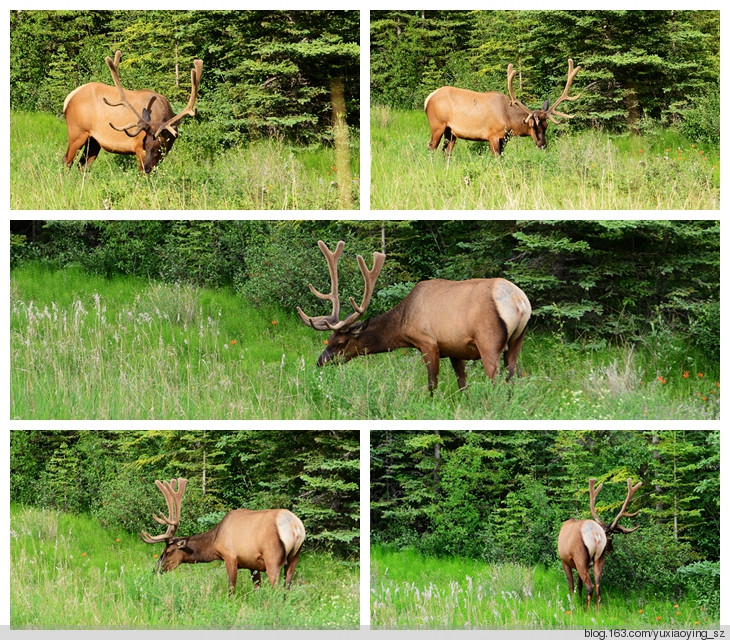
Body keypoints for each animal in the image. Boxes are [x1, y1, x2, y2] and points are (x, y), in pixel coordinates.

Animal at [63, 51, 202, 172]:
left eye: (159, 147)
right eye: (145, 145)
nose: (147, 168)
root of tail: (70, 97)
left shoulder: (165, 152)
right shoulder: (138, 149)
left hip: (93, 140)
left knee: (82, 165)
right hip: (77, 132)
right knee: (67, 161)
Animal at [139, 478, 304, 592]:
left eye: (167, 552)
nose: (156, 570)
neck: (215, 540)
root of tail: (295, 527)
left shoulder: (230, 556)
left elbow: (231, 589)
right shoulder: (253, 564)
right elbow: (257, 589)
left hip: (273, 557)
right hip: (295, 557)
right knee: (287, 589)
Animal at [296, 239, 528, 390]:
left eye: (340, 342)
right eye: (329, 339)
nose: (320, 361)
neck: (404, 322)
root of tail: (519, 301)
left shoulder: (428, 342)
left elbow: (432, 385)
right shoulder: (455, 348)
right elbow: (463, 385)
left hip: (489, 342)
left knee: (497, 383)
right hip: (517, 341)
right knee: (512, 381)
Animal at [424, 58, 576, 156]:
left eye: (546, 126)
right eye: (532, 125)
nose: (542, 145)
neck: (508, 119)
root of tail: (428, 99)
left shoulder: (504, 138)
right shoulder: (493, 135)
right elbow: (497, 158)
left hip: (450, 131)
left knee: (446, 152)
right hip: (437, 125)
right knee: (431, 147)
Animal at [556, 478, 640, 608]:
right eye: (611, 537)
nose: (611, 549)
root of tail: (595, 534)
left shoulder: (565, 560)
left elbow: (571, 584)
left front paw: (574, 602)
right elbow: (579, 585)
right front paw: (578, 600)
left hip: (580, 557)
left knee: (590, 586)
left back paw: (586, 610)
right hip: (599, 558)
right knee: (598, 587)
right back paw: (596, 610)